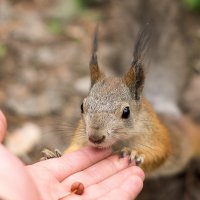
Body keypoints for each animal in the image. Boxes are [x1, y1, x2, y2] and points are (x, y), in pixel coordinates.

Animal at [42, 25, 200, 177]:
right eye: (82, 106)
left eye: (126, 112)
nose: (95, 138)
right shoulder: (81, 135)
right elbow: (74, 148)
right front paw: (53, 155)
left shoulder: (154, 136)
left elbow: (159, 153)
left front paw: (133, 152)